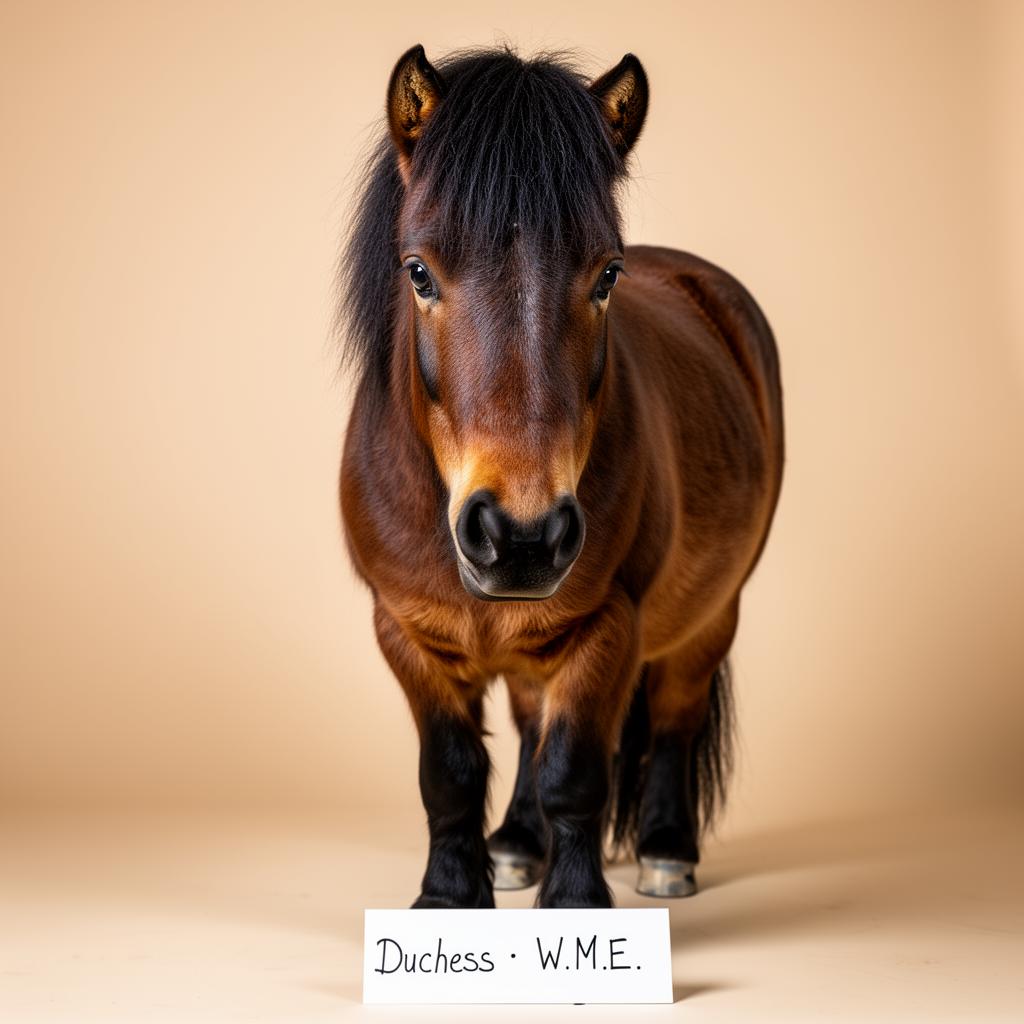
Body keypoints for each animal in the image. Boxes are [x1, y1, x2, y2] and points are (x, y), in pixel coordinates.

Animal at [337, 45, 784, 909]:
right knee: (527, 721)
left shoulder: (609, 627)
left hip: (715, 611)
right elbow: (451, 773)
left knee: (673, 714)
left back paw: (666, 853)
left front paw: (576, 899)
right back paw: (516, 842)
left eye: (607, 275)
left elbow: (574, 772)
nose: (521, 537)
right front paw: (452, 893)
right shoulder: (404, 631)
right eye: (418, 271)